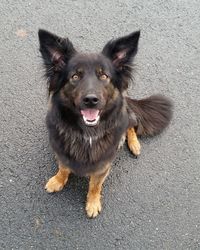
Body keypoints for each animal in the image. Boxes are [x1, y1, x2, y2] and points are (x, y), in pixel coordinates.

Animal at [38, 28, 173, 217]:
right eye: (75, 76)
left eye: (103, 76)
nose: (91, 100)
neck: (87, 133)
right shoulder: (61, 152)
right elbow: (64, 168)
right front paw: (57, 180)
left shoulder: (103, 166)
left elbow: (95, 186)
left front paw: (93, 203)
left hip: (126, 115)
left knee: (132, 123)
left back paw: (134, 144)